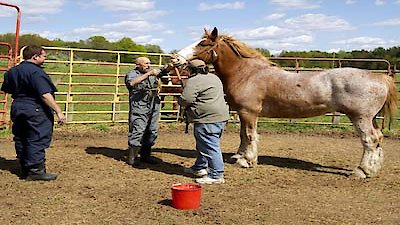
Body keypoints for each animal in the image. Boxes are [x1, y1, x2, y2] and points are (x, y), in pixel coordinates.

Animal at [178, 26, 396, 178]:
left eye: (203, 44)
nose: (176, 59)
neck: (248, 73)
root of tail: (380, 78)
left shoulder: (249, 112)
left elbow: (249, 135)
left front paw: (247, 160)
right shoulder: (243, 112)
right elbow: (243, 136)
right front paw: (239, 156)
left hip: (360, 118)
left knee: (370, 140)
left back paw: (361, 171)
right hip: (371, 119)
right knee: (378, 139)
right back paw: (372, 169)